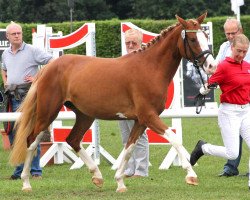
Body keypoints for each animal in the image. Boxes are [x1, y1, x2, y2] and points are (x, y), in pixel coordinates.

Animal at [9, 12, 216, 192]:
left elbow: (130, 148)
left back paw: (97, 176)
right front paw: (191, 175)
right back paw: (26, 183)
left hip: (84, 115)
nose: (211, 66)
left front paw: (120, 182)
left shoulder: (141, 121)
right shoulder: (149, 117)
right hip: (47, 113)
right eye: (192, 39)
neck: (150, 68)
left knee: (72, 139)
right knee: (31, 141)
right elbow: (174, 139)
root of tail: (48, 67)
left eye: (206, 35)